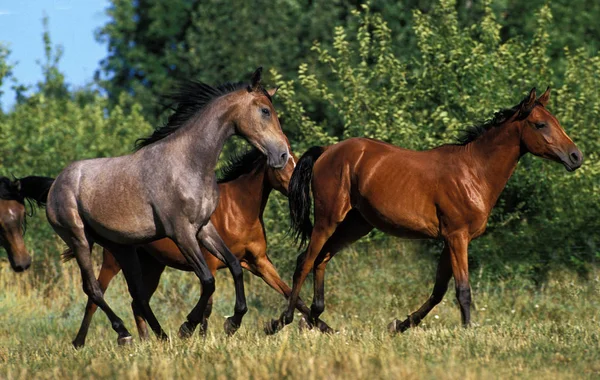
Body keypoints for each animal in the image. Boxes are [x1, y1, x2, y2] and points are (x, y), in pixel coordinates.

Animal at [67, 148, 332, 348]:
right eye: (283, 163)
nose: (299, 189)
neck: (238, 209)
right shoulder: (212, 263)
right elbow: (208, 306)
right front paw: (202, 335)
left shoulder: (258, 262)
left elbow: (290, 293)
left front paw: (325, 327)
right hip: (113, 263)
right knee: (95, 297)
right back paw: (90, 341)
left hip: (152, 266)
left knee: (138, 301)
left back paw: (146, 341)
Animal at [266, 87, 580, 334]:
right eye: (540, 125)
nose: (576, 156)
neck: (473, 171)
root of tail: (327, 151)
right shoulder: (457, 238)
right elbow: (463, 290)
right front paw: (469, 332)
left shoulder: (451, 240)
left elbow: (439, 291)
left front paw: (399, 325)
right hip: (328, 219)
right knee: (305, 262)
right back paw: (282, 320)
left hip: (356, 224)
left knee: (322, 259)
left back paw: (314, 317)